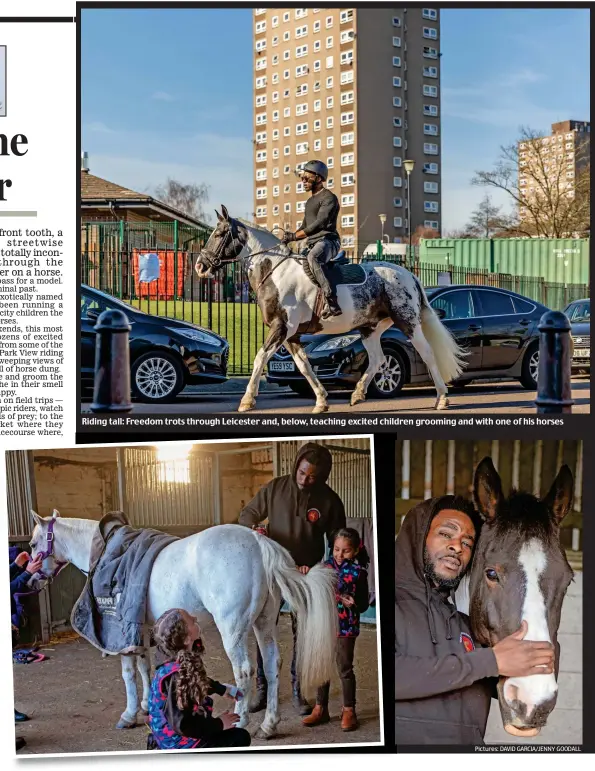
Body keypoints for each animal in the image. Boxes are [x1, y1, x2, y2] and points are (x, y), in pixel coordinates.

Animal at [29, 510, 336, 740]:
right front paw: (145, 706)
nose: (31, 579)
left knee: (244, 671)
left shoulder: (122, 631)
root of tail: (260, 545)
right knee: (272, 666)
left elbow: (128, 673)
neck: (106, 552)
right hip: (264, 623)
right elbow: (144, 667)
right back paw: (268, 725)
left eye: (32, 544)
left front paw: (128, 714)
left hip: (233, 628)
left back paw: (241, 721)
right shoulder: (141, 629)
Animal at [196, 204, 466, 410]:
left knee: (426, 352)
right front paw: (321, 401)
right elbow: (304, 367)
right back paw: (357, 394)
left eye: (219, 234)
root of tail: (408, 274)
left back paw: (442, 398)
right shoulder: (292, 335)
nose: (200, 266)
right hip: (371, 328)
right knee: (377, 359)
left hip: (407, 322)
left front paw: (247, 400)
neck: (275, 271)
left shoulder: (281, 327)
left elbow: (260, 358)